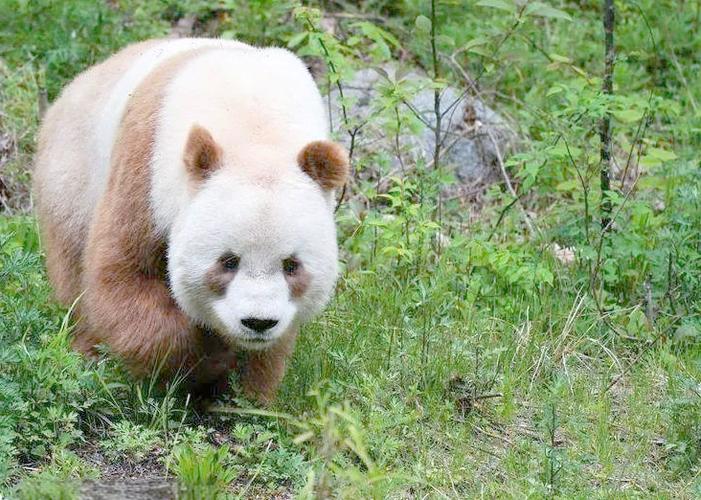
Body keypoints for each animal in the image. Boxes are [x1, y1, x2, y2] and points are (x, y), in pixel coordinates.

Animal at [33, 38, 348, 403]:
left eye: (291, 265)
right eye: (228, 261)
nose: (258, 322)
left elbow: (272, 350)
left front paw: (246, 397)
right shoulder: (148, 167)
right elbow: (122, 276)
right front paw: (206, 362)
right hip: (73, 174)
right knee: (74, 275)